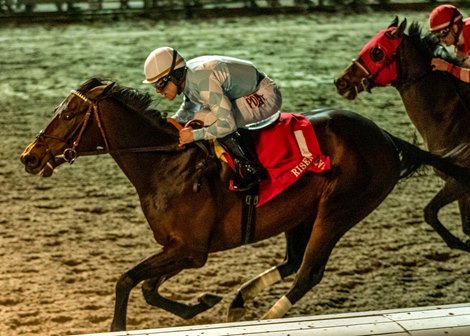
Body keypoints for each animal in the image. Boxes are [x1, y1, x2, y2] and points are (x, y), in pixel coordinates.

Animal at [21, 78, 470, 330]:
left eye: (68, 115)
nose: (29, 157)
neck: (166, 162)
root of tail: (385, 136)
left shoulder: (190, 250)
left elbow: (127, 281)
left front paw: (119, 324)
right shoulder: (180, 249)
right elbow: (146, 287)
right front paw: (203, 302)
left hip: (340, 209)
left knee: (307, 272)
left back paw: (266, 316)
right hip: (301, 213)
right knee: (293, 261)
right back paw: (240, 300)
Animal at [336, 15, 470, 252]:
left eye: (377, 52)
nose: (340, 82)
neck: (452, 114)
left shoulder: (460, 182)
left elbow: (431, 213)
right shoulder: (459, 184)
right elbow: (461, 226)